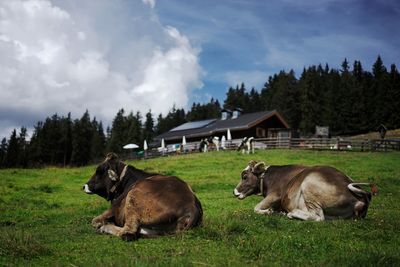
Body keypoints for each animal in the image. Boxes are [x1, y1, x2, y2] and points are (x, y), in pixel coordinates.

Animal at [233, 161, 376, 222]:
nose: (234, 192)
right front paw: (274, 211)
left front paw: (268, 212)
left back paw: (291, 214)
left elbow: (256, 208)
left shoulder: (275, 195)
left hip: (309, 184)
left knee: (318, 217)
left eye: (245, 176)